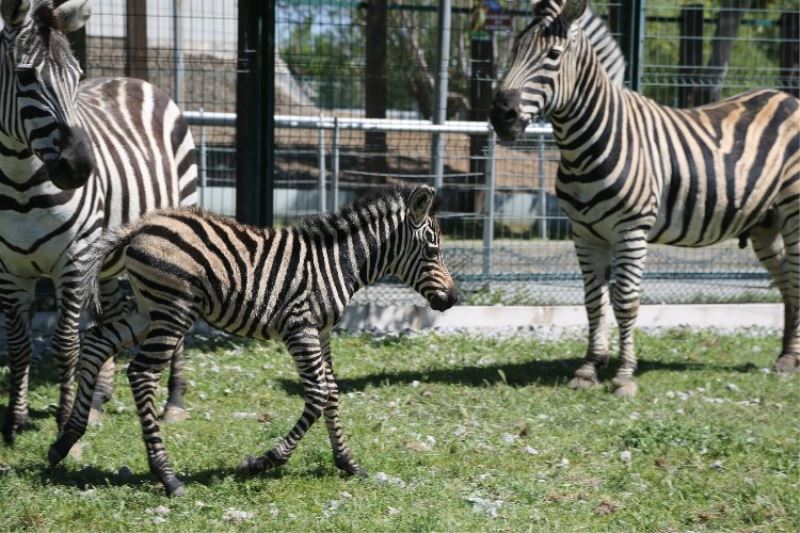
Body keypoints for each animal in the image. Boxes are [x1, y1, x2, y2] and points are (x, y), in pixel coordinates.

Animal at [0, 0, 195, 442]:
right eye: (25, 75)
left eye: (77, 76)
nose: (80, 167)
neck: (19, 183)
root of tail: (132, 79)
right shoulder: (10, 270)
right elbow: (18, 347)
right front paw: (15, 422)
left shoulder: (72, 261)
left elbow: (65, 343)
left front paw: (63, 418)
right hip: (107, 258)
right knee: (110, 316)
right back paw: (99, 399)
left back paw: (175, 401)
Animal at [50, 186, 460, 494]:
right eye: (433, 250)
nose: (453, 299)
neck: (336, 263)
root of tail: (140, 226)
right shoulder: (300, 326)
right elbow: (318, 394)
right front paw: (262, 462)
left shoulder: (322, 332)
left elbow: (332, 391)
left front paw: (347, 462)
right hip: (171, 309)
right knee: (142, 374)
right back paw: (167, 476)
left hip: (146, 308)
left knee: (97, 343)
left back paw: (65, 441)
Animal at [488, 0, 800, 394]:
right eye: (514, 50)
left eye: (553, 55)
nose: (501, 115)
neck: (585, 144)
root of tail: (787, 96)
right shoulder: (584, 233)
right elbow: (593, 300)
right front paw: (589, 368)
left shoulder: (631, 230)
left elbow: (625, 300)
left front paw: (624, 375)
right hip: (765, 223)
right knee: (787, 281)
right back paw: (786, 357)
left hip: (794, 211)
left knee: (797, 278)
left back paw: (791, 358)